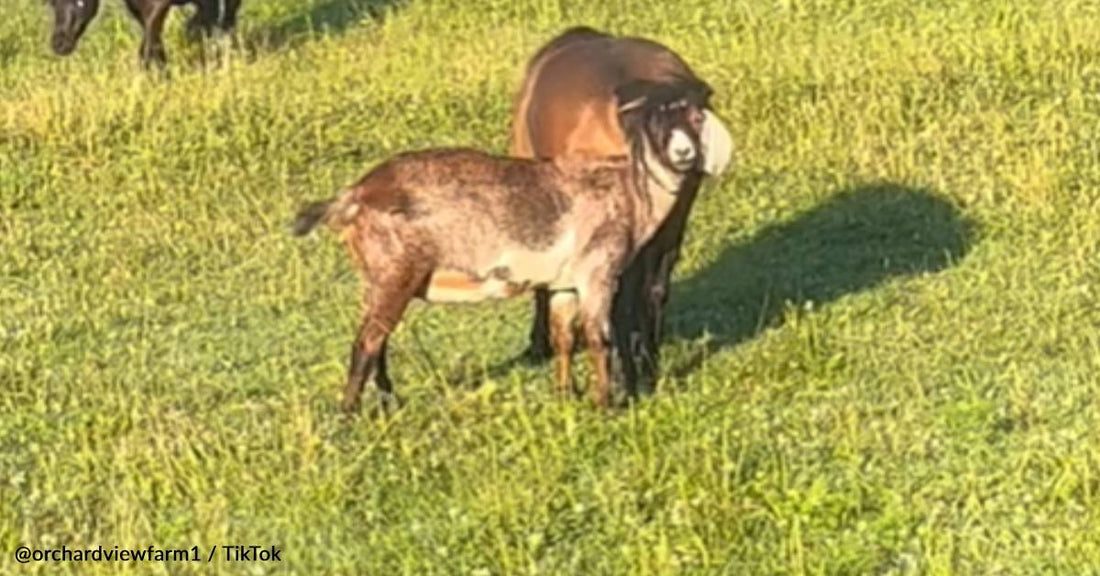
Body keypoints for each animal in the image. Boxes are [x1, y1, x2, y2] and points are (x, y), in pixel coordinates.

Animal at [45, 0, 240, 67]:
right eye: (52, 3)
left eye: (79, 2)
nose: (59, 44)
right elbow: (153, 48)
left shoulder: (157, 7)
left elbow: (146, 51)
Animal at [292, 80, 708, 413]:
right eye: (655, 124)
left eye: (695, 118)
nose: (684, 154)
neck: (631, 190)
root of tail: (353, 196)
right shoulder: (598, 270)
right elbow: (596, 336)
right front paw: (605, 404)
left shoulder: (564, 282)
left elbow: (562, 335)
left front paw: (565, 394)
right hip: (396, 270)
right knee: (367, 342)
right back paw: (348, 415)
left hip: (378, 276)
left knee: (378, 341)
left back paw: (388, 402)